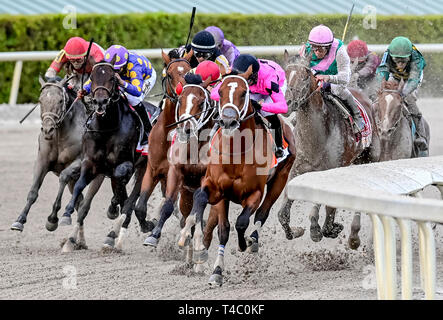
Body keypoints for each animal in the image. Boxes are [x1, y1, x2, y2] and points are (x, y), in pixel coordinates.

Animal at [59, 57, 147, 252]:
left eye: (112, 78)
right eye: (92, 77)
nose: (100, 101)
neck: (107, 127)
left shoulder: (125, 164)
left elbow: (122, 187)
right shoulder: (90, 162)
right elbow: (79, 187)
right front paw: (66, 215)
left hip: (146, 167)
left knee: (132, 198)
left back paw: (115, 234)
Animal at [133, 48, 193, 235]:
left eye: (189, 73)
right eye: (170, 74)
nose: (183, 94)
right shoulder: (153, 170)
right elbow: (140, 207)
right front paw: (148, 225)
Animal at [179, 68, 296, 284]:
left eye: (243, 93)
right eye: (220, 91)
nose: (227, 121)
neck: (236, 153)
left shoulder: (254, 193)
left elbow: (242, 222)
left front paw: (244, 243)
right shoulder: (217, 191)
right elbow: (220, 225)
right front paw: (216, 270)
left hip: (280, 179)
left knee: (262, 214)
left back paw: (253, 241)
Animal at [280, 50, 380, 250]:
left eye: (305, 77)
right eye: (285, 75)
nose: (288, 102)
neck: (317, 139)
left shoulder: (329, 170)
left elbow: (322, 210)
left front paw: (322, 229)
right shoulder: (298, 169)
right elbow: (283, 214)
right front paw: (297, 231)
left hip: (368, 159)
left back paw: (352, 236)